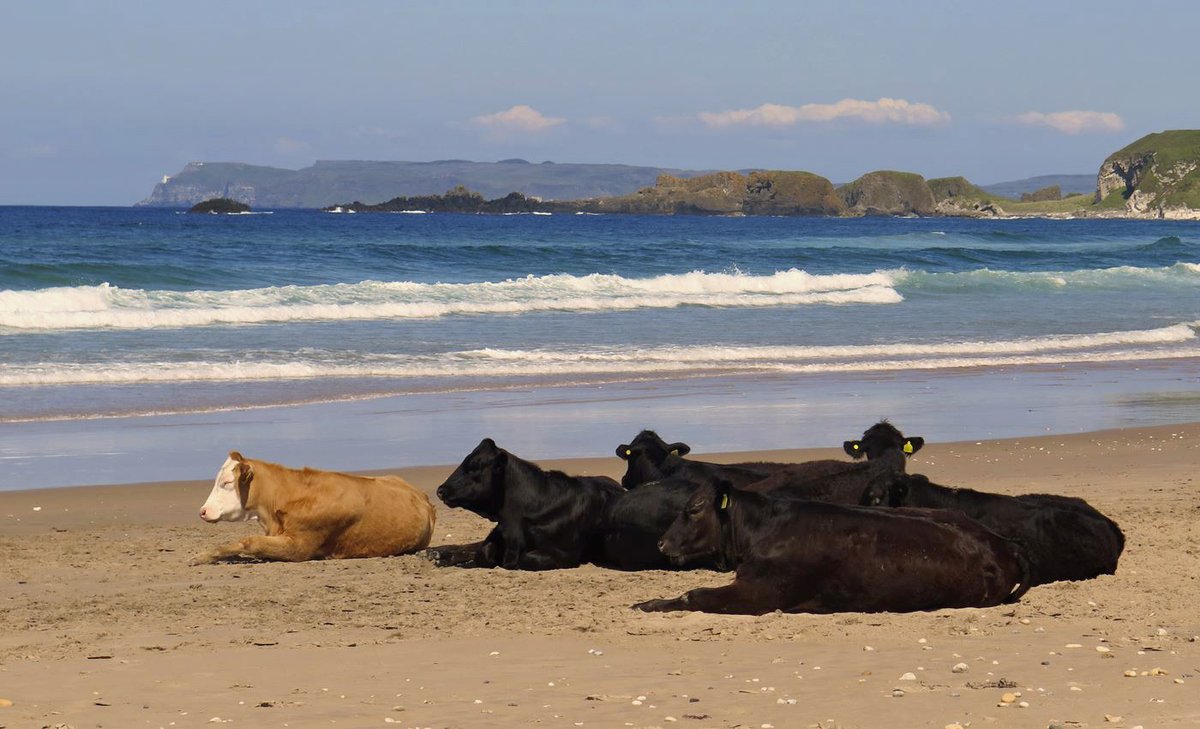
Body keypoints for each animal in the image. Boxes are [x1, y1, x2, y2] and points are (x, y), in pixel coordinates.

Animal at [427, 438, 624, 570]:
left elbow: (527, 559)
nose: (441, 490)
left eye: (475, 466)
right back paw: (437, 554)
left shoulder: (566, 553)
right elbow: (483, 552)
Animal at [628, 484, 1032, 613]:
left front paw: (649, 605)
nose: (661, 542)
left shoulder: (760, 593)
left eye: (694, 509)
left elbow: (693, 595)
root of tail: (1004, 543)